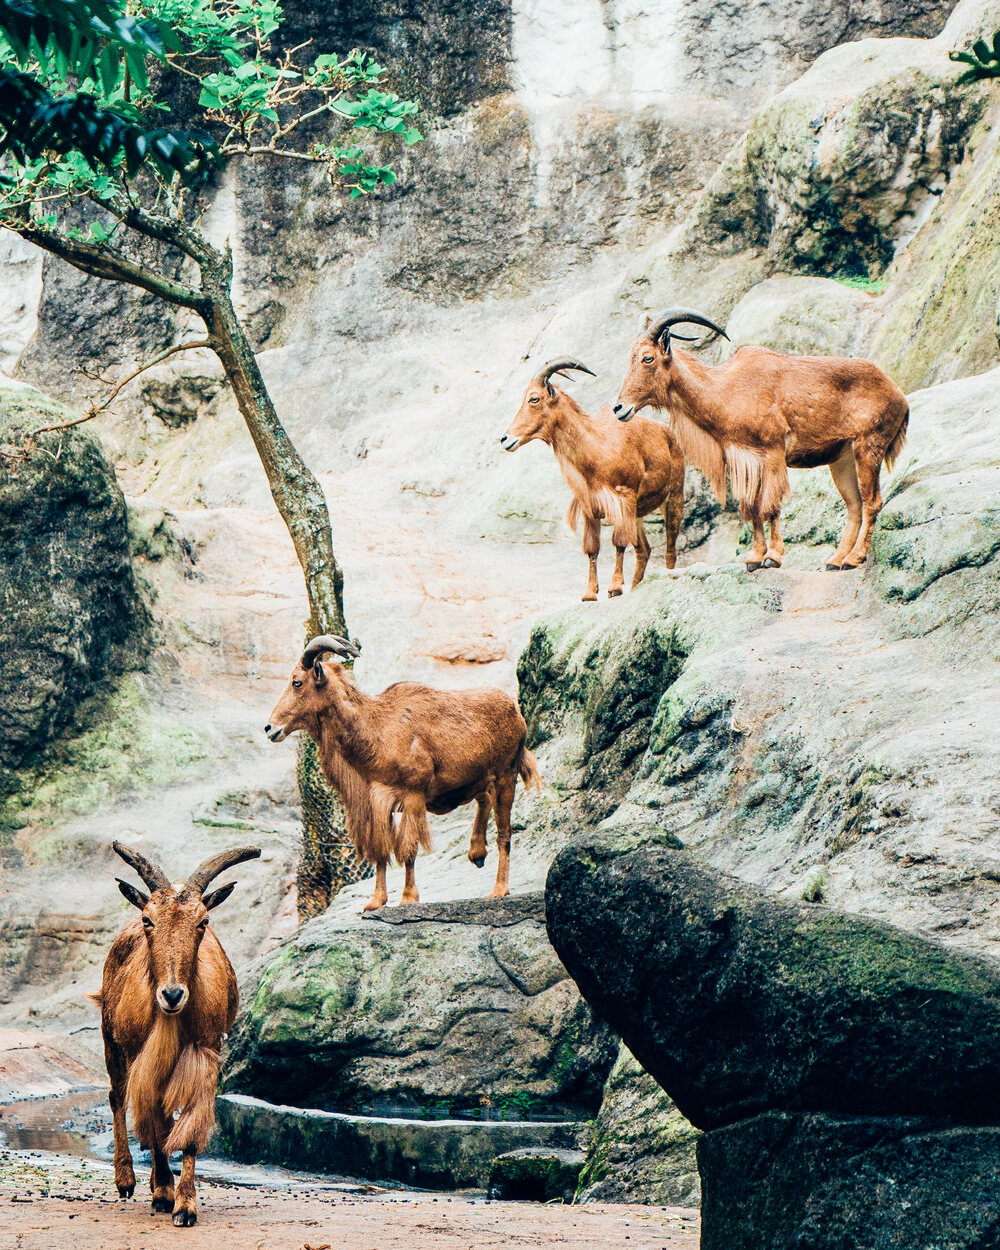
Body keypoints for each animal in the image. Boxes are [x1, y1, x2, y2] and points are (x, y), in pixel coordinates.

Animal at [92, 841, 260, 1227]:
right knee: (116, 1098)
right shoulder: (142, 1058)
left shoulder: (206, 1053)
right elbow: (152, 1121)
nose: (171, 994)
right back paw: (127, 1180)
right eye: (149, 920)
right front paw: (164, 1194)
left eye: (203, 921)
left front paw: (184, 1206)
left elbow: (188, 1129)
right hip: (111, 1039)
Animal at [265, 636, 541, 910]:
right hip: (477, 778)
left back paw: (499, 888)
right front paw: (375, 901)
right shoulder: (376, 802)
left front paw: (408, 897)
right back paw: (477, 853)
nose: (270, 728)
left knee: (504, 833)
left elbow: (407, 849)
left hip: (506, 774)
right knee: (483, 799)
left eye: (297, 682)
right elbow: (380, 851)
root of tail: (516, 710)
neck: (377, 730)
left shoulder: (412, 795)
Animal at [500, 359, 685, 600]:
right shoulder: (590, 507)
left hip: (674, 496)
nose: (505, 439)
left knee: (670, 548)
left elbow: (618, 542)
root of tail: (670, 435)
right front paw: (589, 593)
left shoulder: (624, 497)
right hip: (638, 513)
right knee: (644, 550)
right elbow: (592, 548)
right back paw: (636, 588)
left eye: (534, 398)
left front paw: (614, 587)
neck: (597, 450)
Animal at [613, 309, 909, 571]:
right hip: (842, 459)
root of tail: (898, 395)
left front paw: (773, 557)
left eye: (648, 358)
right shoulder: (744, 460)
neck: (726, 390)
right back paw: (836, 561)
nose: (619, 408)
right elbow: (751, 508)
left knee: (872, 502)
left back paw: (854, 558)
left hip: (868, 447)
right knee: (854, 505)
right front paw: (755, 558)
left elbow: (771, 506)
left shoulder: (773, 452)